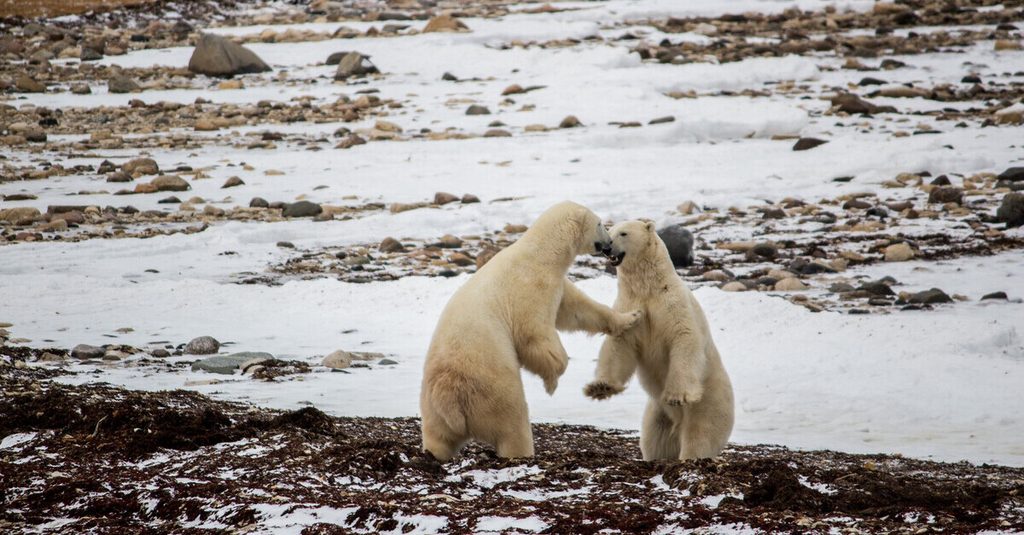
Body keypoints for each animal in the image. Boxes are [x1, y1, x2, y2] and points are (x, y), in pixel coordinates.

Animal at [420, 201, 642, 461]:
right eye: (600, 223)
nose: (608, 244)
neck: (541, 253)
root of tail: (450, 396)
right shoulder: (531, 287)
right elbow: (533, 334)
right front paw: (553, 378)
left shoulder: (556, 285)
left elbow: (578, 310)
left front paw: (632, 316)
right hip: (491, 388)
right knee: (512, 424)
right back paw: (523, 451)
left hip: (433, 408)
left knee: (438, 437)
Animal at [584, 220, 734, 460]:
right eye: (609, 231)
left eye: (623, 233)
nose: (607, 248)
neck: (650, 288)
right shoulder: (630, 307)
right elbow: (619, 344)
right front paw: (600, 387)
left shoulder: (673, 305)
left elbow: (684, 339)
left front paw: (677, 396)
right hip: (657, 412)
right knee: (655, 439)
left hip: (709, 404)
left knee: (700, 437)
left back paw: (689, 457)